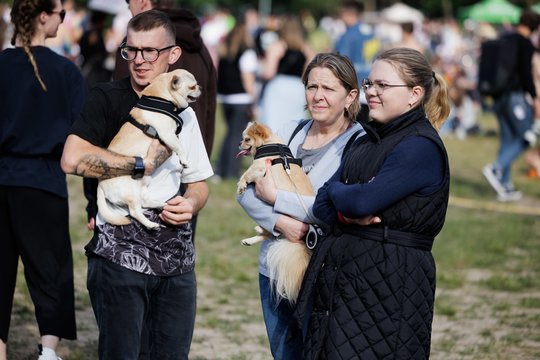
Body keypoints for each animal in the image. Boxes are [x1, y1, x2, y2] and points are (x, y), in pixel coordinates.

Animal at [96, 69, 200, 229]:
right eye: (192, 87)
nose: (200, 88)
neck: (162, 97)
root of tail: (100, 185)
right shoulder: (167, 134)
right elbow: (179, 146)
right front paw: (184, 160)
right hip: (130, 193)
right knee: (135, 212)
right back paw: (151, 224)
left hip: (144, 184)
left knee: (144, 202)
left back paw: (162, 205)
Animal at [236, 121, 312, 304]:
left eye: (247, 139)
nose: (239, 143)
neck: (270, 143)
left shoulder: (258, 167)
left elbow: (246, 174)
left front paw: (241, 185)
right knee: (269, 233)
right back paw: (250, 239)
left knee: (270, 232)